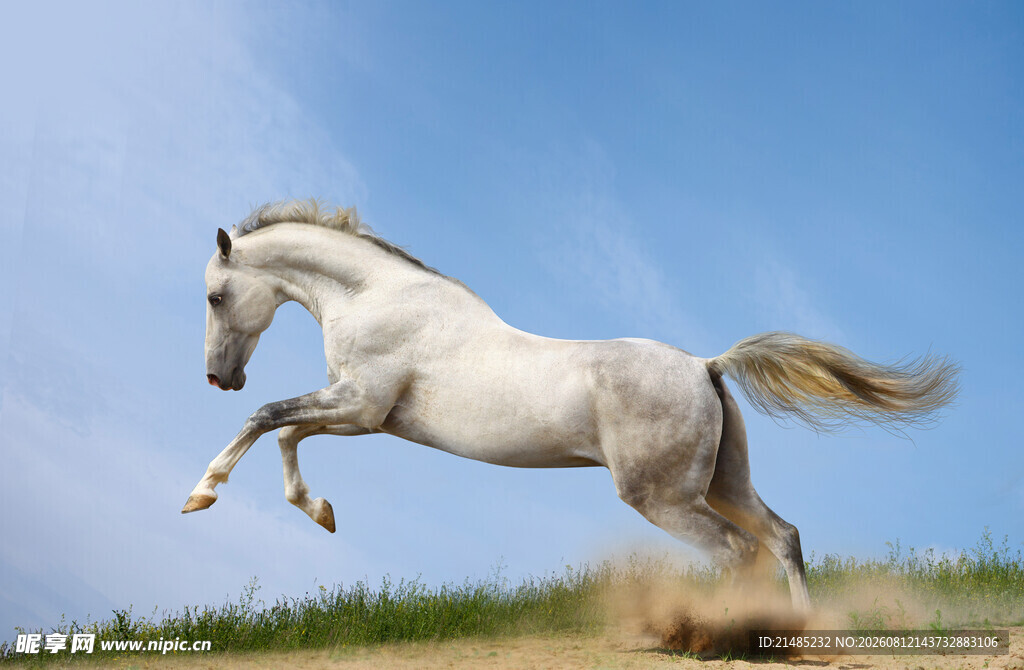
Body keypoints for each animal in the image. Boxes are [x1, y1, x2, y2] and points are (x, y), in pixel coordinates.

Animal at [183, 200, 960, 612]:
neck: (377, 299)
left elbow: (267, 419)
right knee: (783, 538)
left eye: (216, 296)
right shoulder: (362, 416)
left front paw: (201, 495)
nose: (220, 378)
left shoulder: (360, 406)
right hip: (723, 483)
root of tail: (706, 366)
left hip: (663, 497)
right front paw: (321, 512)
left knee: (739, 552)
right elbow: (286, 435)